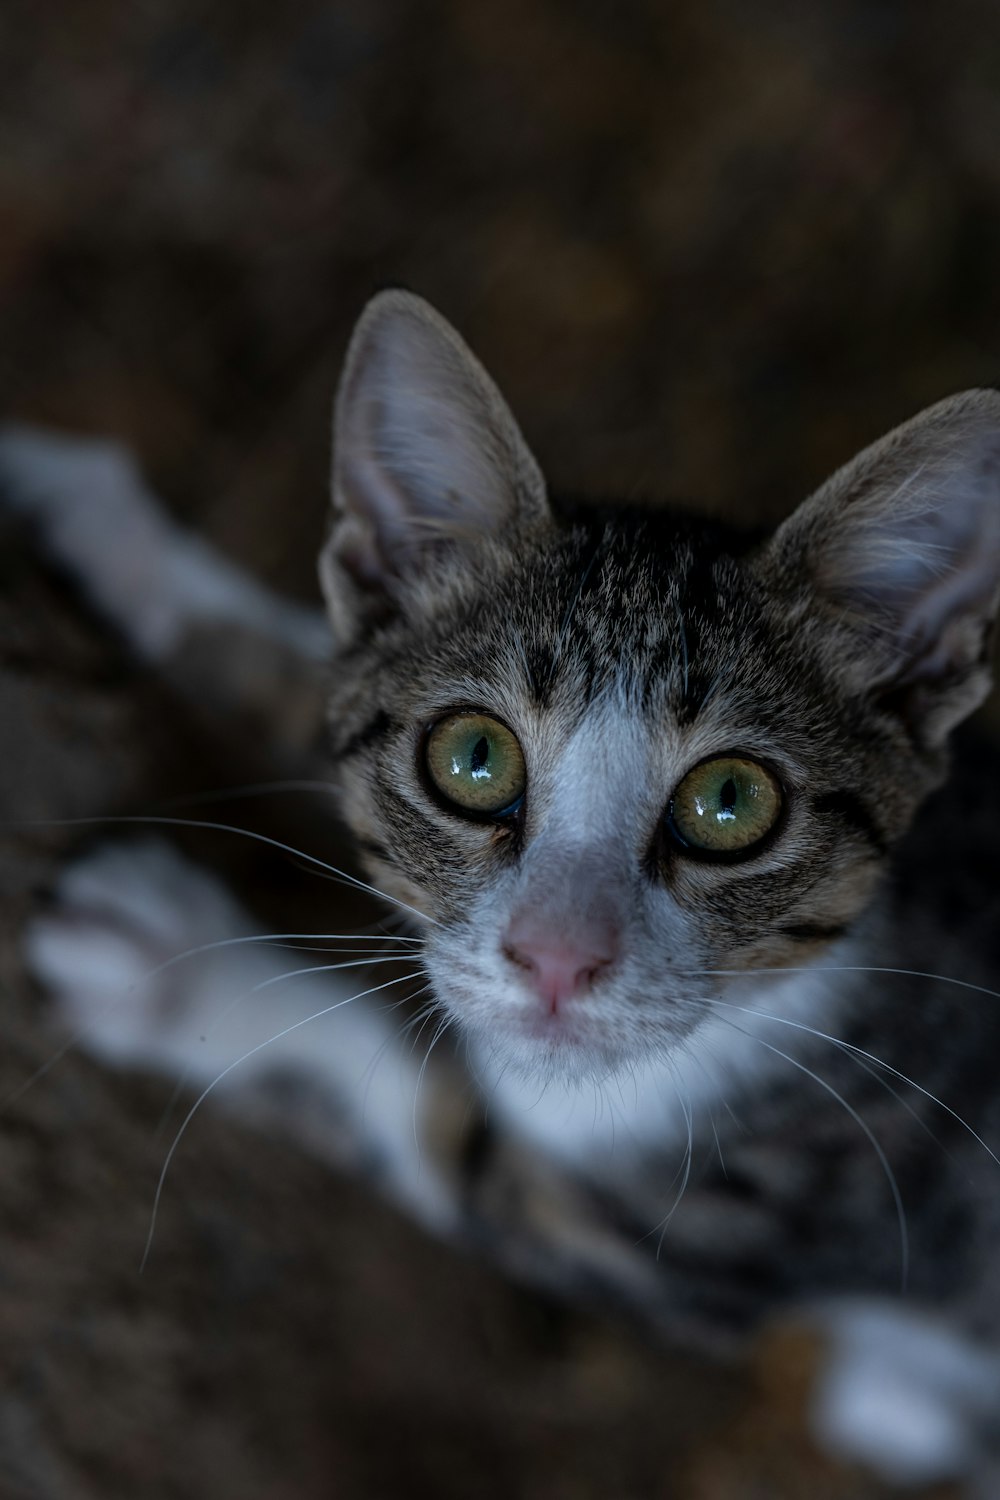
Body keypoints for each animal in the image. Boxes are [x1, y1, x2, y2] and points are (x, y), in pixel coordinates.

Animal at [11, 289, 1000, 1488]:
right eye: (473, 757)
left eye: (730, 801)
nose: (557, 958)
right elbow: (308, 679)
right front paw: (114, 538)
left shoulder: (715, 1224)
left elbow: (419, 1112)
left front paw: (173, 976)